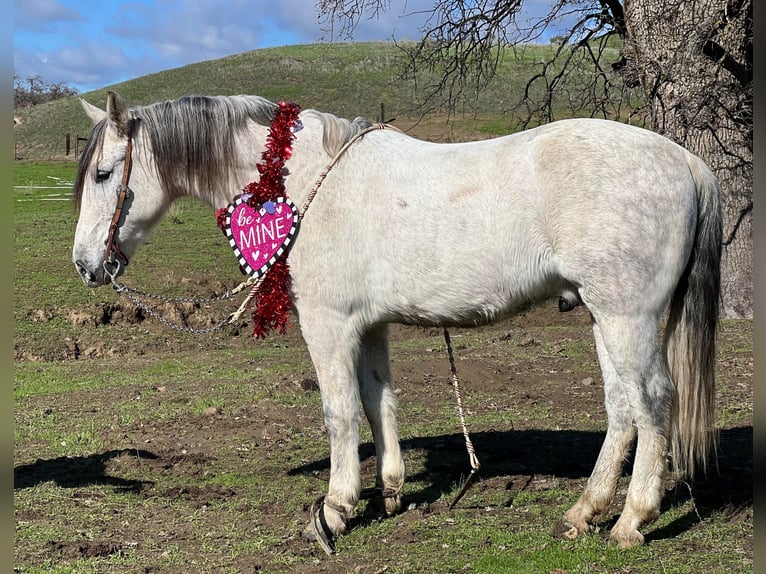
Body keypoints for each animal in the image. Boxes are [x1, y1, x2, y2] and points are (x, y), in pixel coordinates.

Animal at [70, 92, 720, 556]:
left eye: (104, 173)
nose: (85, 265)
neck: (302, 183)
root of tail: (685, 161)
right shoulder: (371, 326)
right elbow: (378, 401)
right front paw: (388, 491)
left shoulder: (328, 325)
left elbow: (339, 412)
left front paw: (333, 510)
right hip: (603, 316)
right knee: (622, 408)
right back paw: (584, 512)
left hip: (627, 317)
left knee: (653, 402)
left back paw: (632, 520)